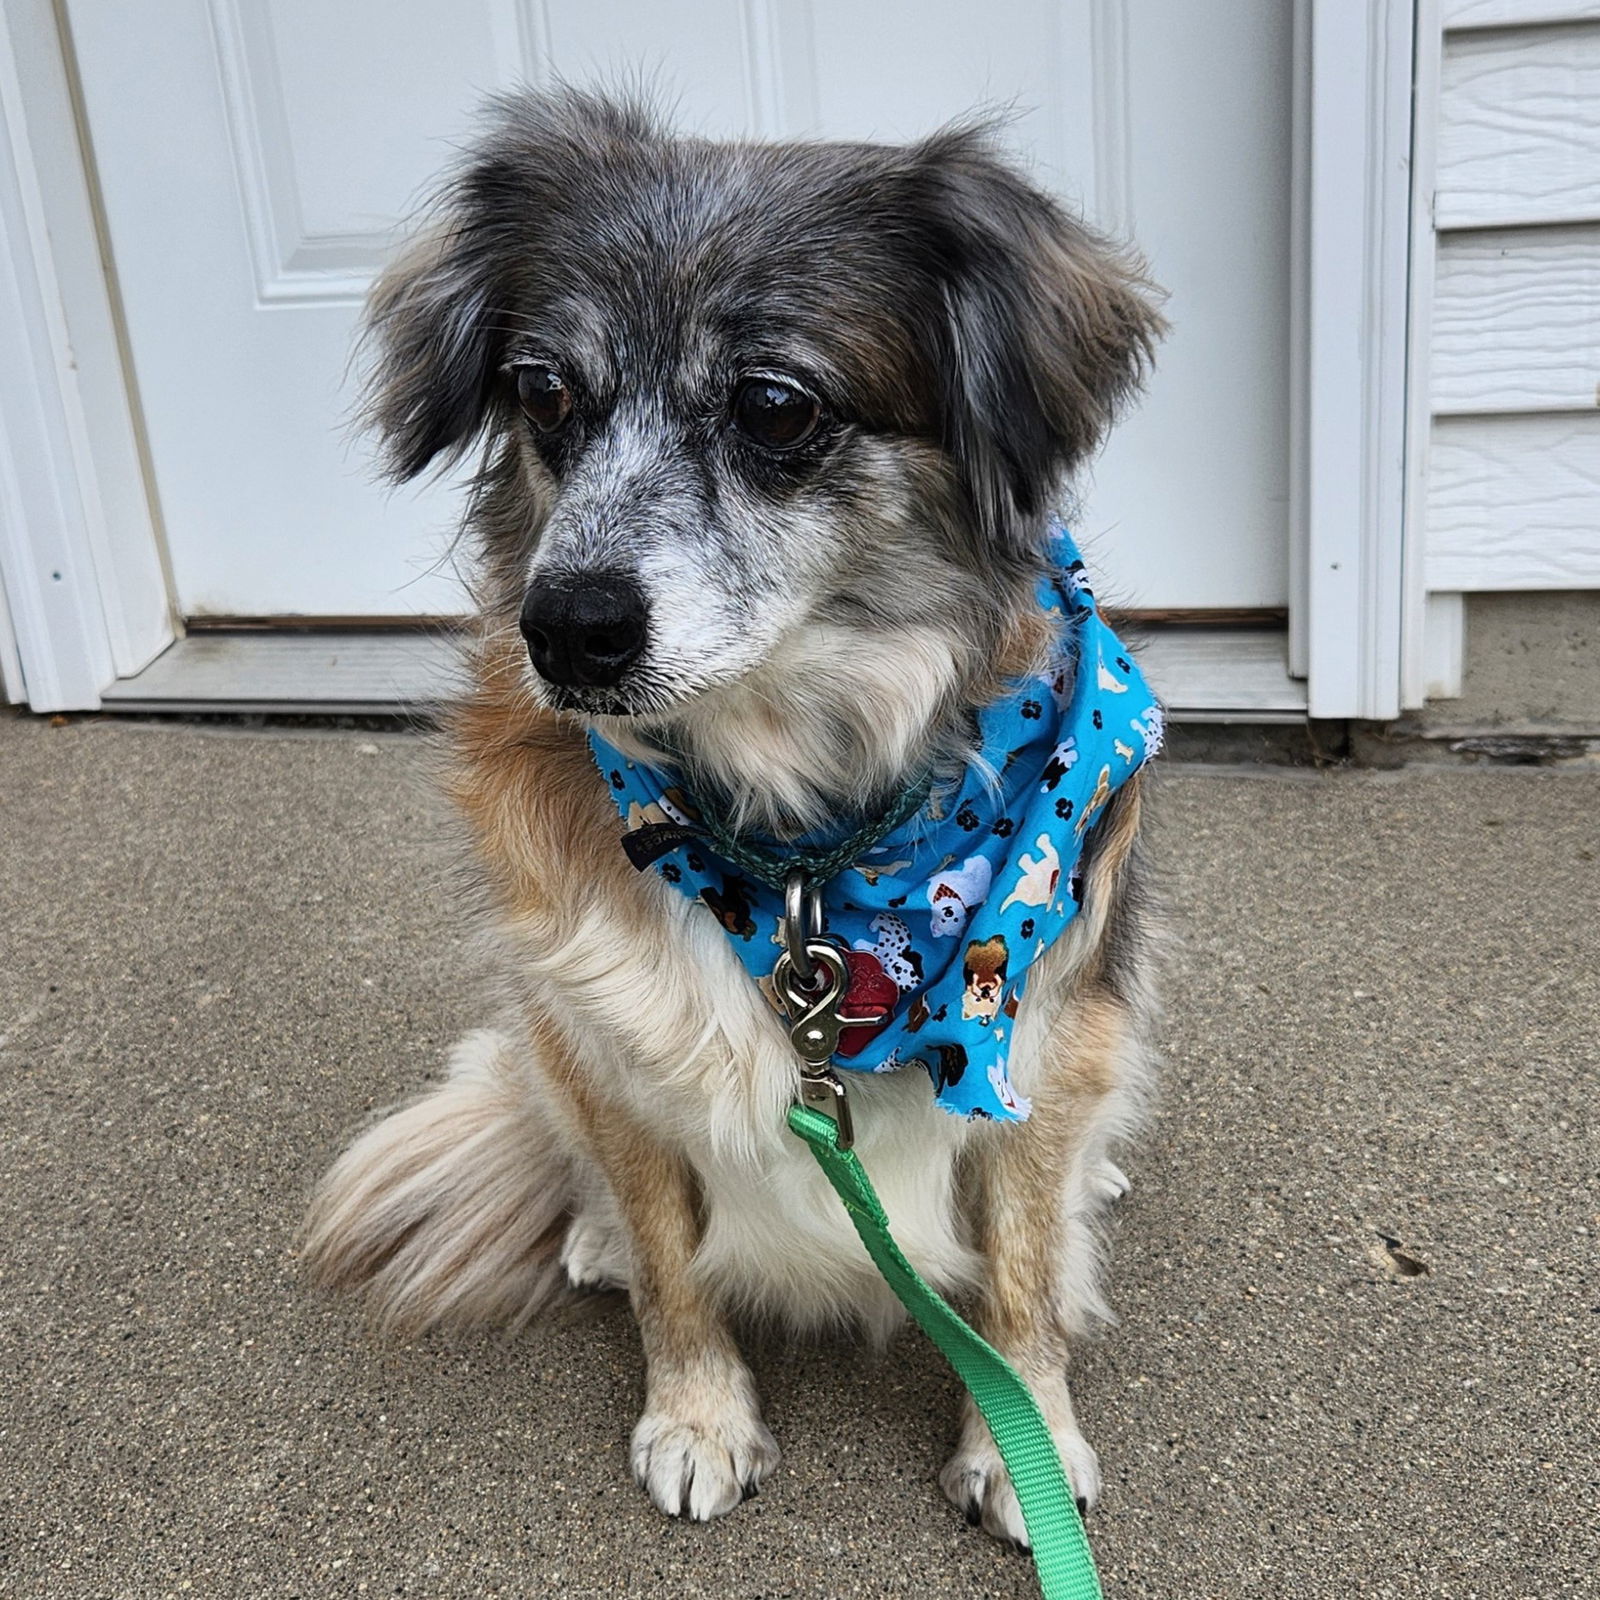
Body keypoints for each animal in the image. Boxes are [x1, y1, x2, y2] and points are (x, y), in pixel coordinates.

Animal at [300, 87, 1171, 1548]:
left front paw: (1026, 1439)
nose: (564, 629)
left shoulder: (1044, 1013)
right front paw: (698, 1415)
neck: (810, 854)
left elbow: (1018, 1271)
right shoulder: (610, 1042)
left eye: (772, 405)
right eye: (544, 392)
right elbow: (671, 1260)